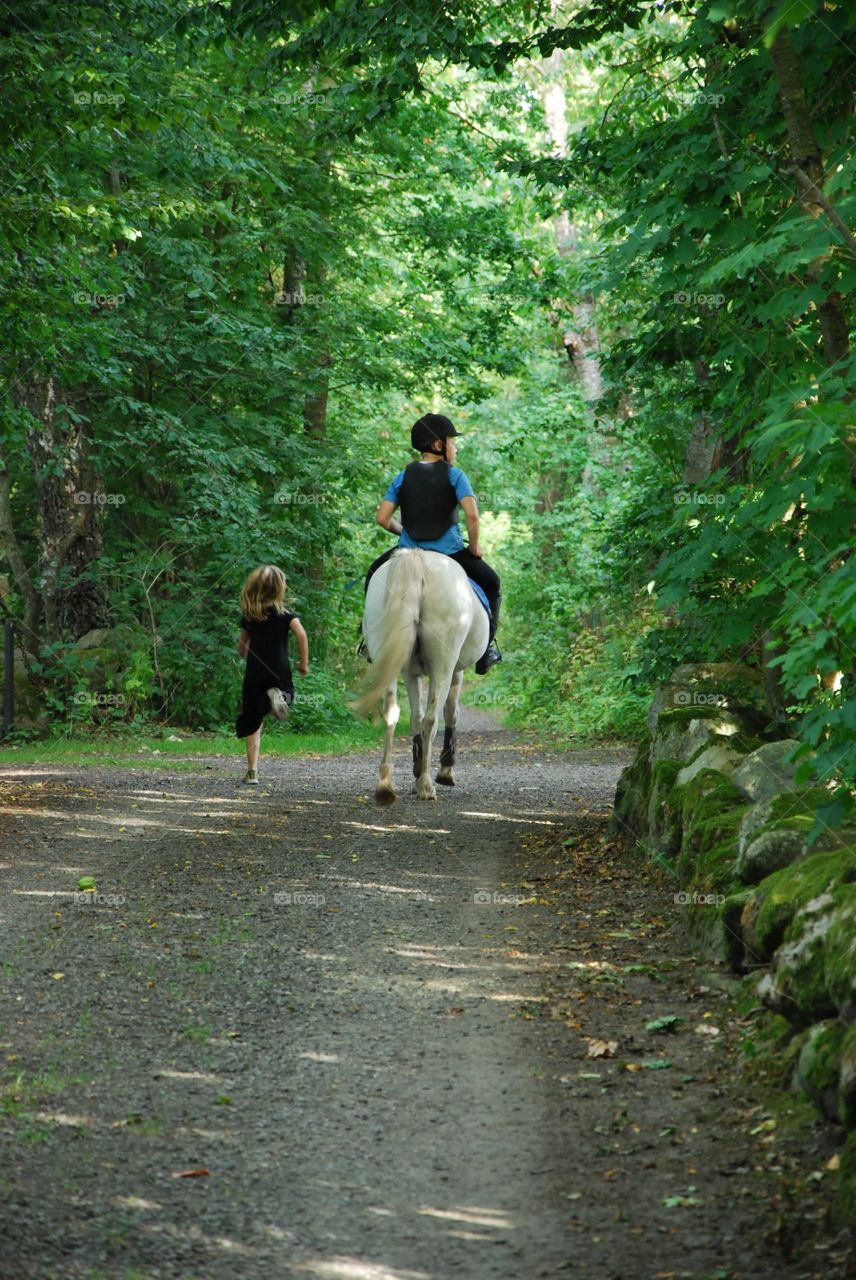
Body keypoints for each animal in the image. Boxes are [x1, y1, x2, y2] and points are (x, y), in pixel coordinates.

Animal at [350, 547, 491, 803]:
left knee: (392, 713)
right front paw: (445, 771)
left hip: (389, 654)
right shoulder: (456, 671)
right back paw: (426, 784)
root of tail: (418, 557)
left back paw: (386, 783)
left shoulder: (410, 672)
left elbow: (414, 717)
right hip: (443, 664)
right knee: (431, 719)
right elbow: (450, 712)